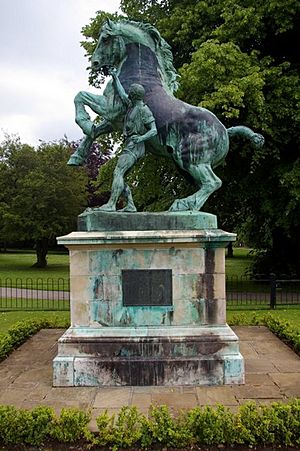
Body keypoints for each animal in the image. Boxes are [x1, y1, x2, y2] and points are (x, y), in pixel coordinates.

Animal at [69, 19, 264, 212]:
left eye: (105, 39)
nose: (94, 63)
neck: (140, 74)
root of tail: (224, 131)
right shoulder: (115, 120)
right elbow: (94, 131)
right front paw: (77, 156)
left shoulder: (111, 108)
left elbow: (80, 96)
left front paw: (84, 122)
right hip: (186, 166)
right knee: (207, 184)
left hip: (189, 159)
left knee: (213, 182)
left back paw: (182, 204)